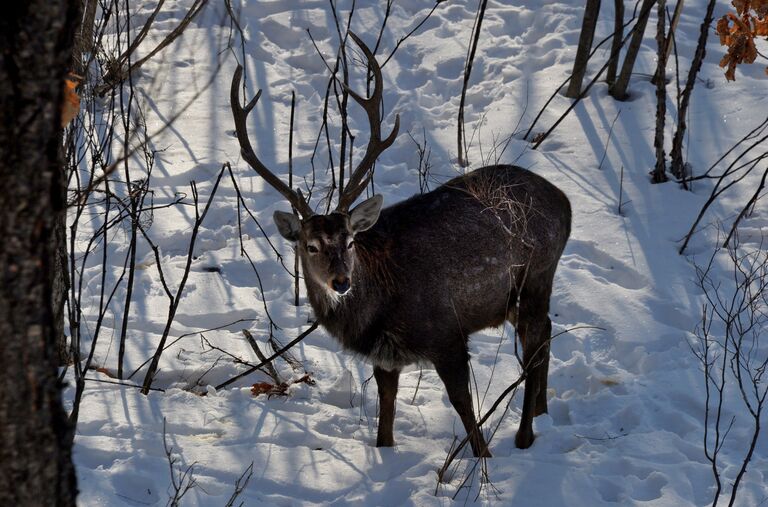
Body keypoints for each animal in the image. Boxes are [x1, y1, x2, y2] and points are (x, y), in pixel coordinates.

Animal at [231, 33, 572, 458]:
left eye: (350, 240)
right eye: (310, 246)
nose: (341, 282)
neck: (381, 308)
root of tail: (565, 203)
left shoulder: (447, 333)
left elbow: (463, 405)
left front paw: (483, 456)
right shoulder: (385, 358)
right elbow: (386, 416)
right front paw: (386, 454)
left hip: (537, 274)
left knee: (536, 346)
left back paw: (525, 436)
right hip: (513, 297)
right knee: (545, 334)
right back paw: (542, 412)